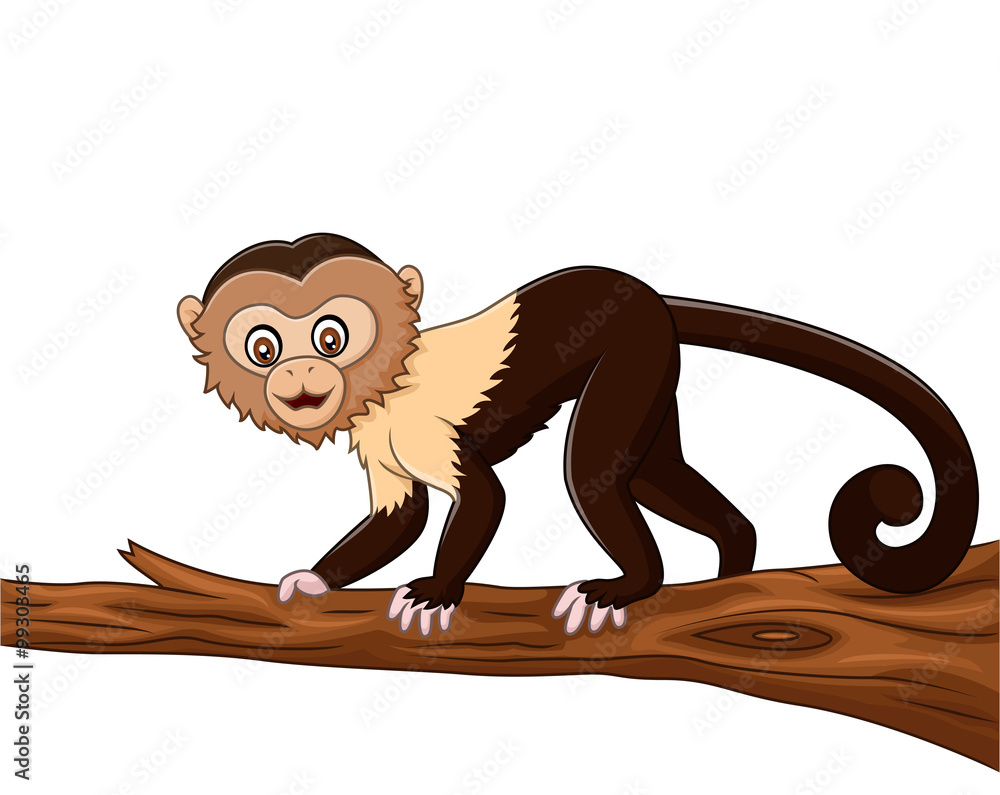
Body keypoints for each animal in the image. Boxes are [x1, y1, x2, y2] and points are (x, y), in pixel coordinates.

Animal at [177, 233, 979, 637]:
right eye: (264, 347)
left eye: (331, 336)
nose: (302, 374)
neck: (385, 382)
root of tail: (645, 293)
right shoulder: (377, 435)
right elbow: (399, 517)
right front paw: (317, 578)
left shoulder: (416, 422)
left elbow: (483, 498)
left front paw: (437, 592)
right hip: (656, 369)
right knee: (654, 471)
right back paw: (732, 562)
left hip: (634, 351)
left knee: (595, 469)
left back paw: (630, 585)